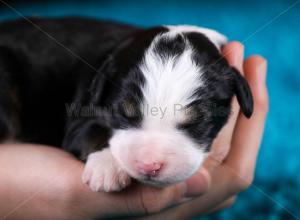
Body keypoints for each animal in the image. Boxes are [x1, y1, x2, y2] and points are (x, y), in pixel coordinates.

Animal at [0, 17, 253, 192]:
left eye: (197, 122)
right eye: (123, 114)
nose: (149, 166)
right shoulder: (80, 116)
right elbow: (94, 131)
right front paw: (108, 167)